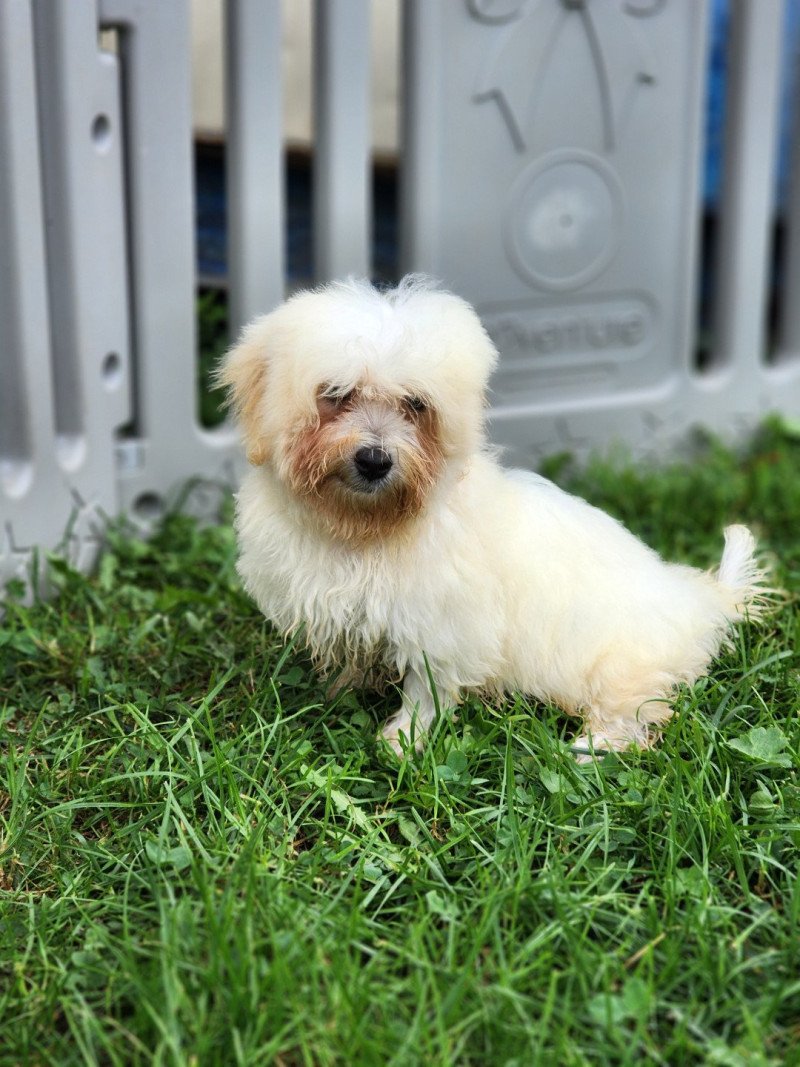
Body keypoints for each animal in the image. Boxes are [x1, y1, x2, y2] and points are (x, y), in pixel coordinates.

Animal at [219, 275, 772, 759]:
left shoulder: (445, 626)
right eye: (336, 394)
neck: (367, 528)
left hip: (620, 663)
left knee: (634, 711)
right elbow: (358, 657)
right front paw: (341, 690)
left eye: (416, 404)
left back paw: (588, 750)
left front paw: (403, 741)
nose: (375, 460)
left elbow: (428, 688)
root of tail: (700, 598)